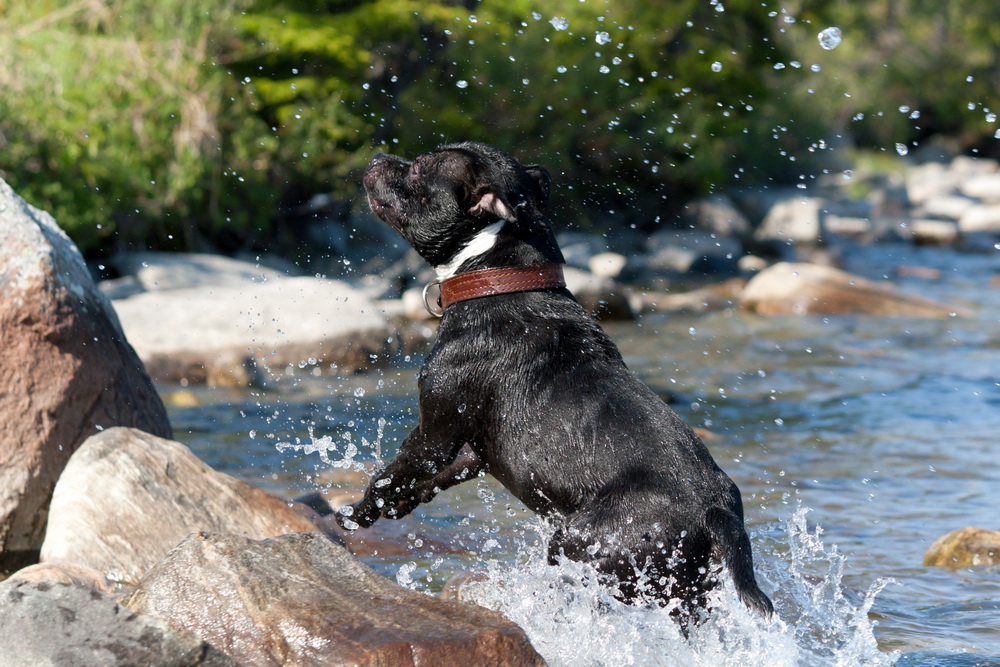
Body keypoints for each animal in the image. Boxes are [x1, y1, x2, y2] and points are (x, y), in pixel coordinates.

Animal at [338, 141, 772, 620]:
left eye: (417, 169)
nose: (377, 157)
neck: (502, 279)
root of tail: (714, 511)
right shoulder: (470, 448)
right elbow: (424, 477)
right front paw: (395, 505)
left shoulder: (436, 432)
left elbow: (387, 474)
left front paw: (355, 514)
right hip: (684, 588)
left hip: (584, 546)